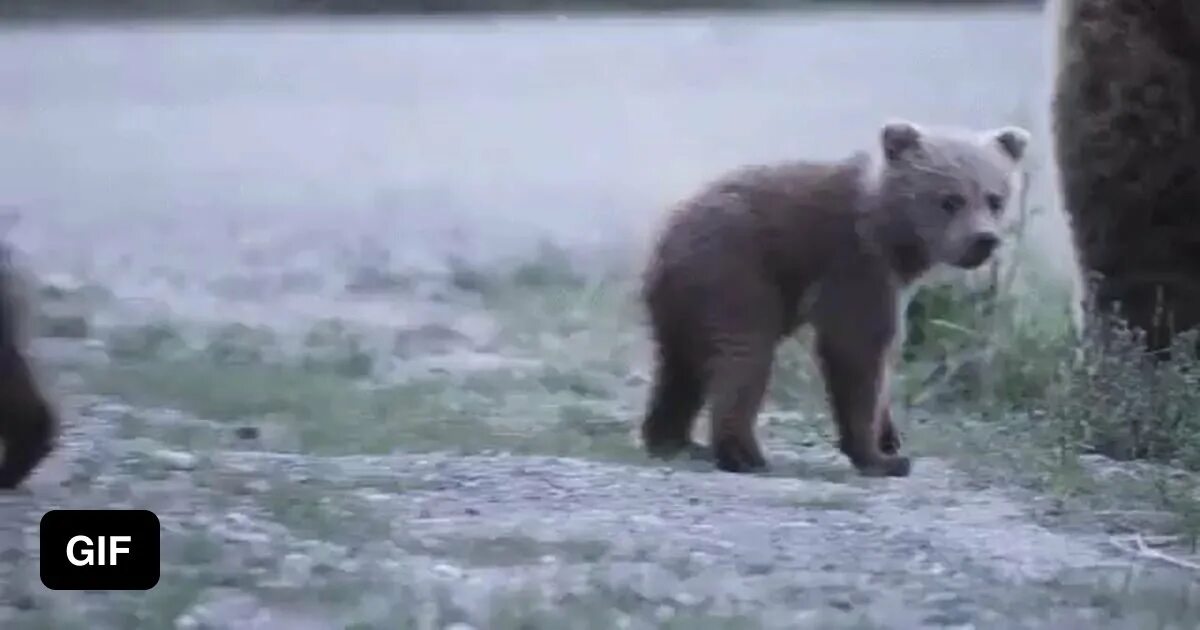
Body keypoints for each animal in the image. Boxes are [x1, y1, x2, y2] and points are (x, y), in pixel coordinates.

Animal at [643, 119, 1027, 477]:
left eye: (995, 199)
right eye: (950, 200)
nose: (984, 240)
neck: (895, 240)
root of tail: (663, 243)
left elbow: (883, 354)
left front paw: (889, 436)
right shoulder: (854, 266)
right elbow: (857, 352)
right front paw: (882, 457)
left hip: (685, 304)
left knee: (680, 370)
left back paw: (674, 439)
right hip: (736, 277)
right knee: (743, 359)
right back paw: (743, 454)